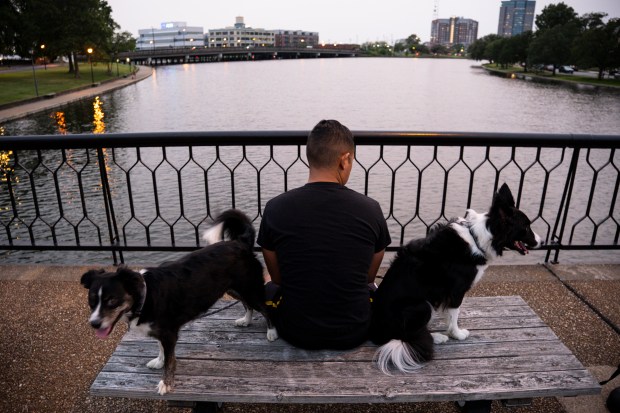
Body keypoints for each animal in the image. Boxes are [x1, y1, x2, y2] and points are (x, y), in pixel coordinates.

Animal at [80, 211, 278, 394]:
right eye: (92, 301)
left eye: (112, 300)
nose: (94, 323)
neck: (146, 296)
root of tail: (240, 242)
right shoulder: (162, 332)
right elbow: (161, 349)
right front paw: (159, 362)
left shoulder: (169, 334)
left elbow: (170, 360)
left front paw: (166, 383)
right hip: (233, 289)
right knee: (247, 305)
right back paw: (246, 320)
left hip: (249, 288)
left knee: (264, 307)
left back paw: (272, 332)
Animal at [368, 183, 544, 374]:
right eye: (526, 227)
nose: (542, 241)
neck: (477, 238)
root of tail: (376, 331)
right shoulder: (457, 290)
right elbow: (454, 314)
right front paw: (457, 334)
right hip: (422, 305)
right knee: (407, 335)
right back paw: (437, 337)